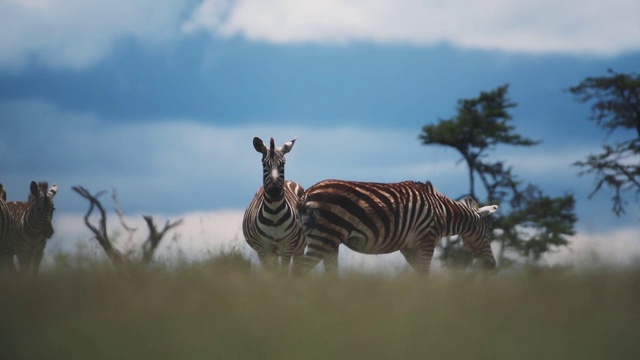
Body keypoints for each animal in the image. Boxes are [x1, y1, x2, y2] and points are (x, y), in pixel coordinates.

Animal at [242, 136, 308, 272]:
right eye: (264, 164)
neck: (274, 213)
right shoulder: (263, 249)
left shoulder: (287, 247)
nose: (274, 191)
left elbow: (282, 272)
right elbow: (270, 272)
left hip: (299, 248)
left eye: (283, 164)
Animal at [296, 179, 500, 274]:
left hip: (329, 239)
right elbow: (424, 275)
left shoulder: (409, 247)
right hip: (325, 236)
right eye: (488, 234)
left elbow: (419, 275)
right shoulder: (426, 240)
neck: (443, 212)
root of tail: (307, 192)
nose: (492, 267)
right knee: (301, 269)